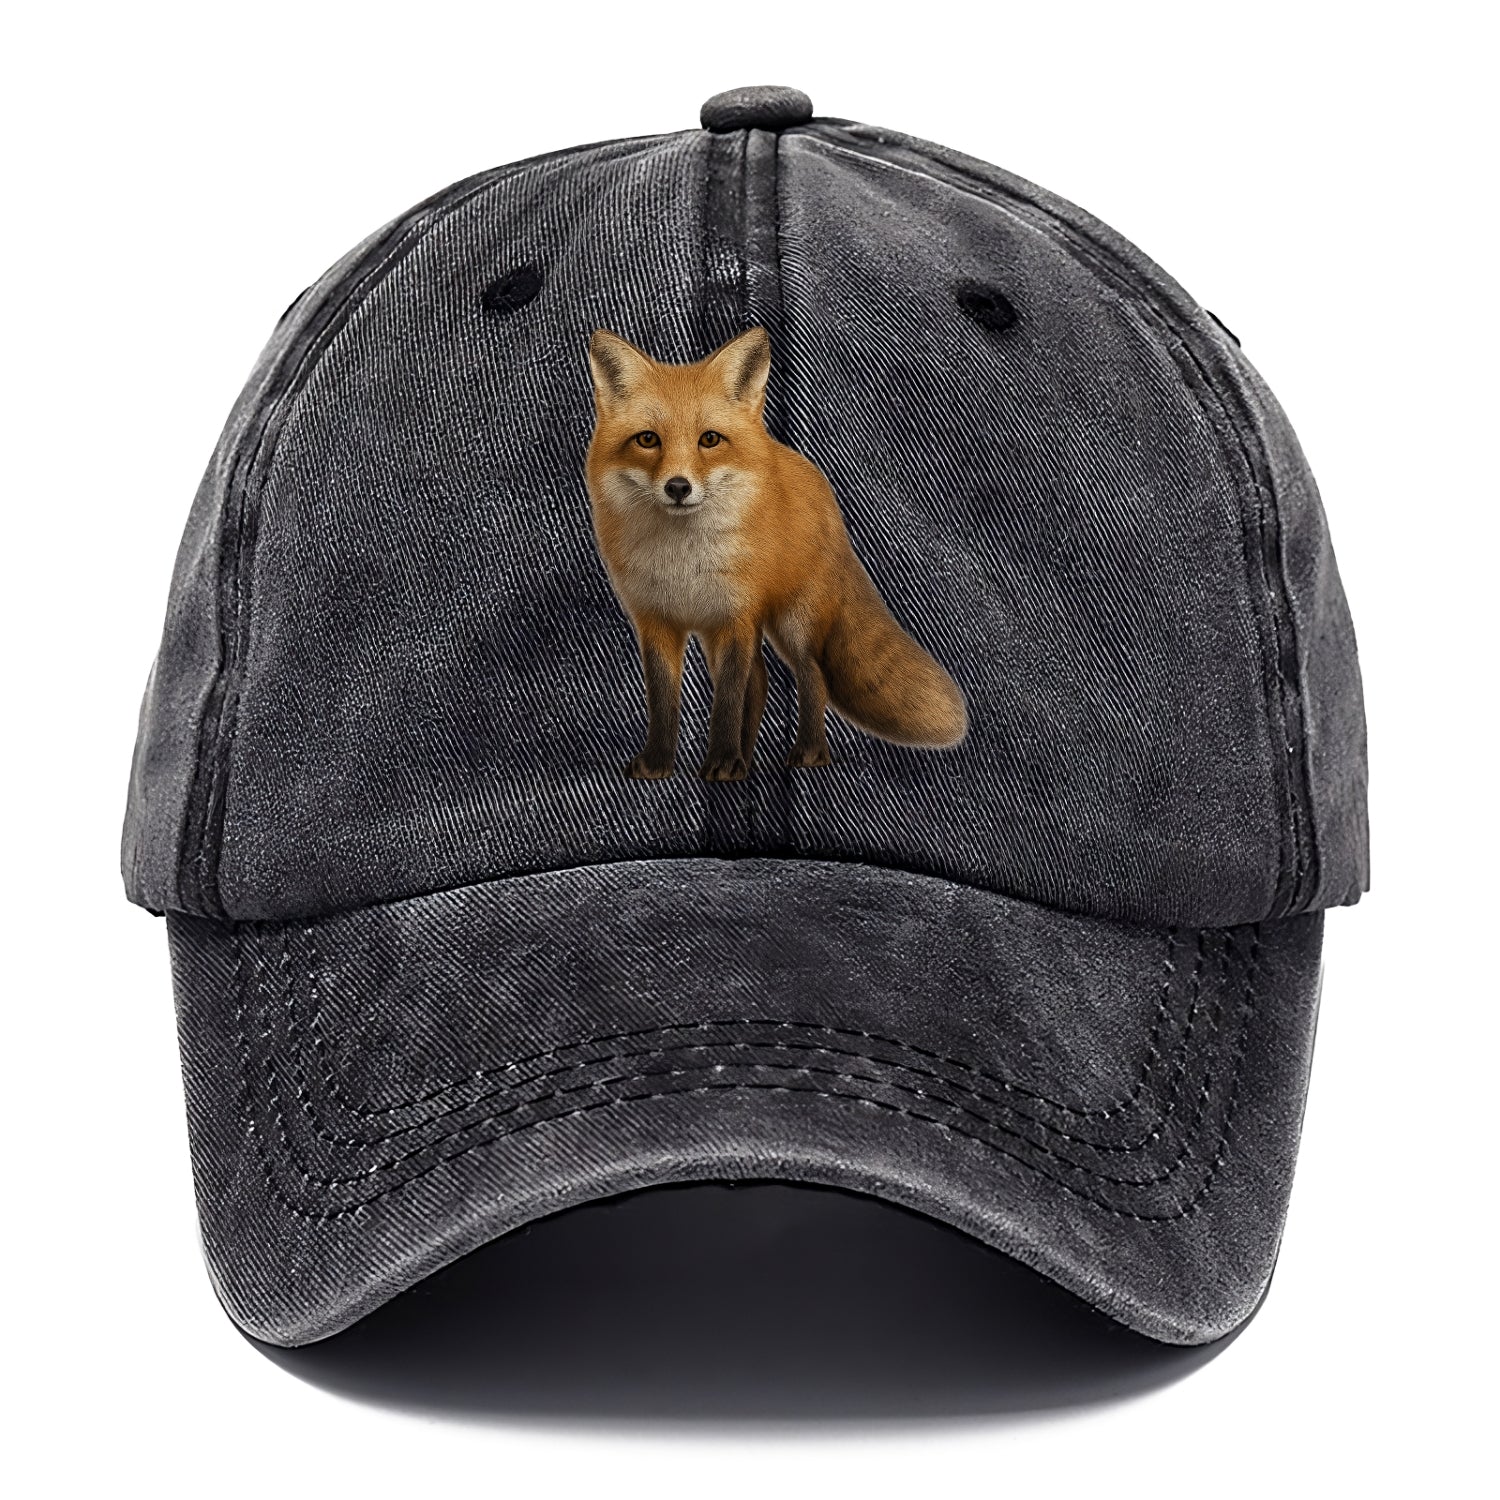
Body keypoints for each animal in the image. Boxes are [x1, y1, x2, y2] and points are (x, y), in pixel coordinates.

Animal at [584, 326, 968, 782]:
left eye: (709, 439)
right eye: (647, 440)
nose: (678, 487)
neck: (684, 562)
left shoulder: (736, 617)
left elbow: (727, 701)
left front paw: (722, 761)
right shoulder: (659, 622)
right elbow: (664, 702)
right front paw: (660, 762)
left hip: (794, 622)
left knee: (813, 674)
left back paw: (809, 751)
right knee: (762, 683)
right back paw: (749, 759)